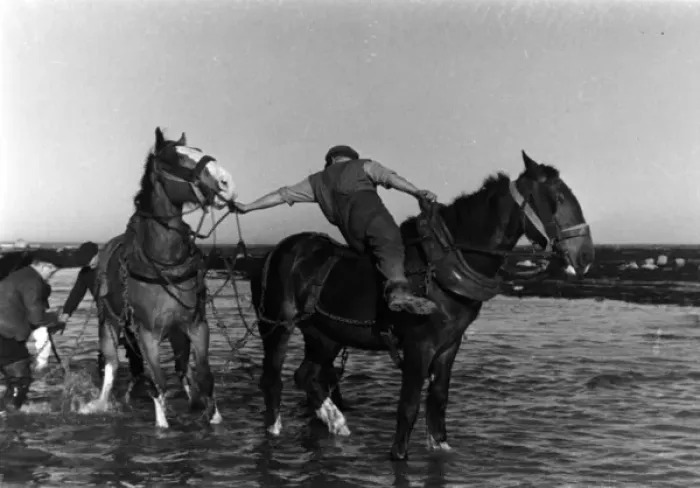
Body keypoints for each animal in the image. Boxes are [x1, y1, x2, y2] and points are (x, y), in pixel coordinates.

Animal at [80, 127, 237, 428]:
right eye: (175, 159)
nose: (227, 182)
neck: (164, 261)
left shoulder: (196, 326)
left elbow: (204, 376)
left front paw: (214, 417)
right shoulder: (147, 333)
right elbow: (158, 384)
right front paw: (162, 426)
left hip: (174, 332)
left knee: (180, 369)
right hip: (110, 322)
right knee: (112, 365)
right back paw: (100, 404)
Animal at [252, 150, 594, 460]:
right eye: (558, 198)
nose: (586, 255)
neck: (445, 262)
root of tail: (276, 251)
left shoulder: (449, 345)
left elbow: (438, 401)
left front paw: (440, 448)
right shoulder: (419, 345)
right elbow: (409, 406)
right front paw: (399, 455)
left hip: (325, 334)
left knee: (306, 375)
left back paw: (336, 421)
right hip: (276, 326)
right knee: (271, 380)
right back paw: (274, 432)